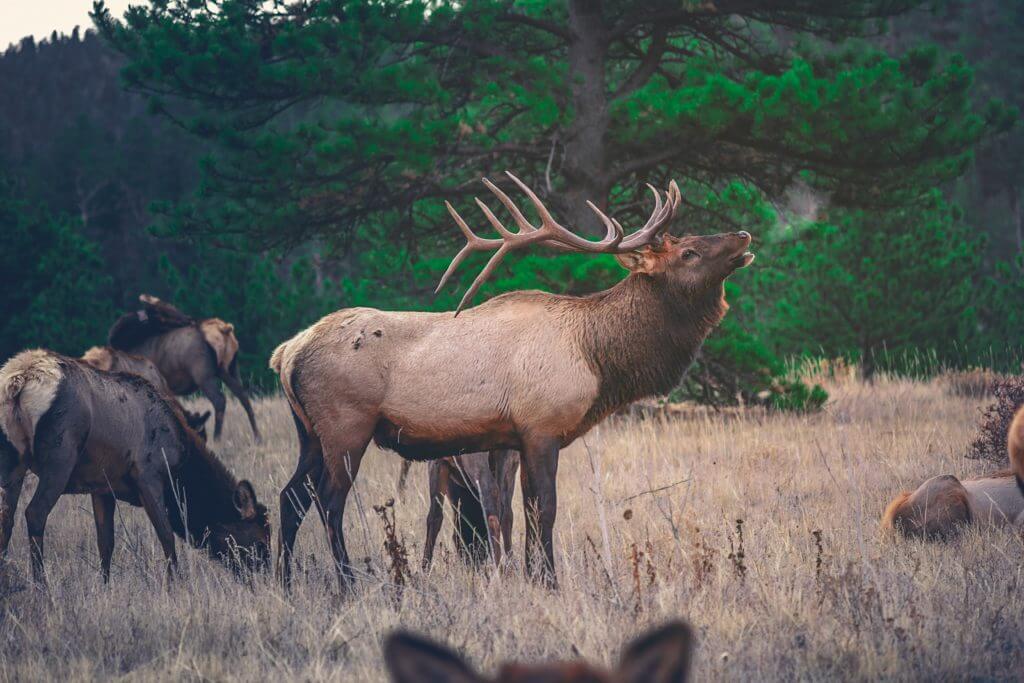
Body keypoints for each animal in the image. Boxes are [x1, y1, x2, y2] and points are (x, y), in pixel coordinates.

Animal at [106, 296, 260, 440]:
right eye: (163, 313)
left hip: (203, 374)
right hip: (230, 369)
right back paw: (257, 438)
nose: (190, 319)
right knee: (244, 396)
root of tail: (225, 329)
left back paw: (217, 439)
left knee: (220, 400)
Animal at [270, 172, 753, 589]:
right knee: (328, 502)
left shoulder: (513, 439)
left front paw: (531, 576)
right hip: (346, 425)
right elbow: (545, 510)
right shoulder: (541, 428)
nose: (744, 236)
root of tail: (287, 353)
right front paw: (550, 582)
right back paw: (347, 582)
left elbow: (522, 513)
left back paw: (285, 581)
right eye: (688, 252)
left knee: (290, 497)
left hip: (309, 433)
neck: (596, 358)